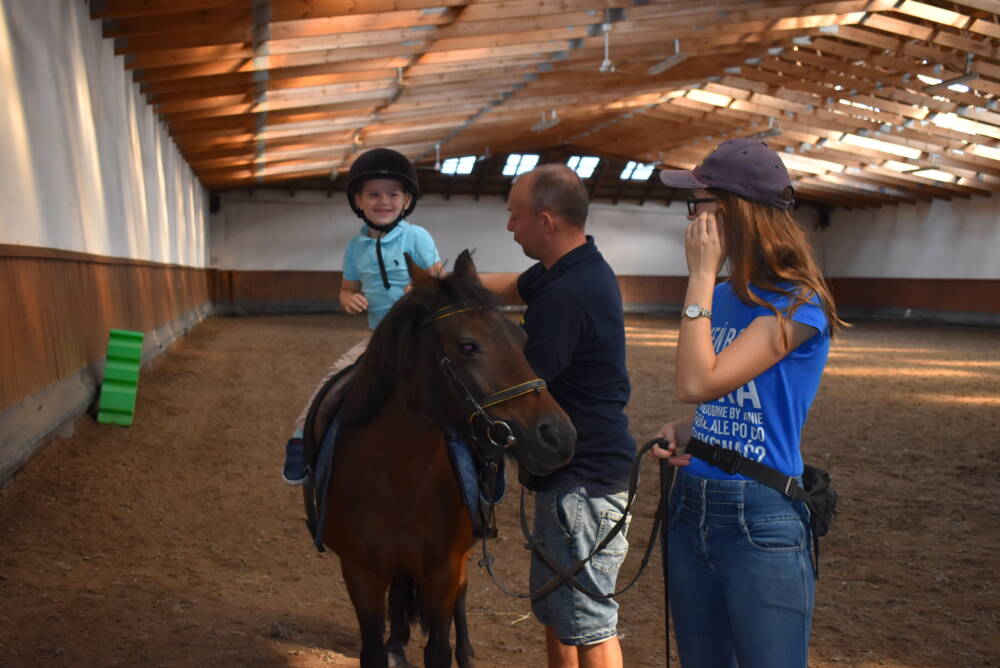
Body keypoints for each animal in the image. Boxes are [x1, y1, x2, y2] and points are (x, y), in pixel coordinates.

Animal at [305, 249, 577, 668]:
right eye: (467, 346)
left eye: (521, 338)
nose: (558, 436)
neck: (397, 475)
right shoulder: (360, 572)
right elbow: (372, 648)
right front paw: (390, 646)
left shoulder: (443, 570)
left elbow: (439, 648)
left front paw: (453, 649)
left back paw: (464, 650)